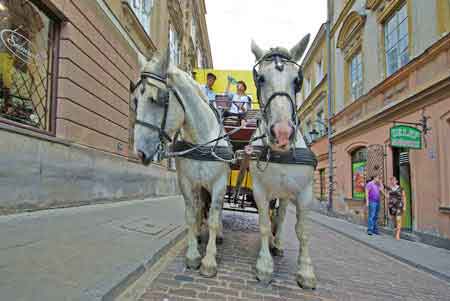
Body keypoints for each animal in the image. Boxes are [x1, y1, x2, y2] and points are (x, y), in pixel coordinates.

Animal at [132, 49, 230, 276]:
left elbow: (213, 218)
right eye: (135, 101)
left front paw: (209, 260)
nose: (139, 152)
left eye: (158, 99)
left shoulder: (219, 183)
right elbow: (191, 216)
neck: (202, 142)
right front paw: (193, 254)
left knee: (217, 210)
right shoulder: (187, 183)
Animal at [248, 35, 318, 288]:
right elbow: (263, 224)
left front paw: (306, 271)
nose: (282, 133)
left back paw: (276, 244)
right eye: (260, 78)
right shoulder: (259, 190)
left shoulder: (305, 193)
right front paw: (264, 266)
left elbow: (303, 230)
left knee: (281, 215)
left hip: (286, 194)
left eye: (297, 81)